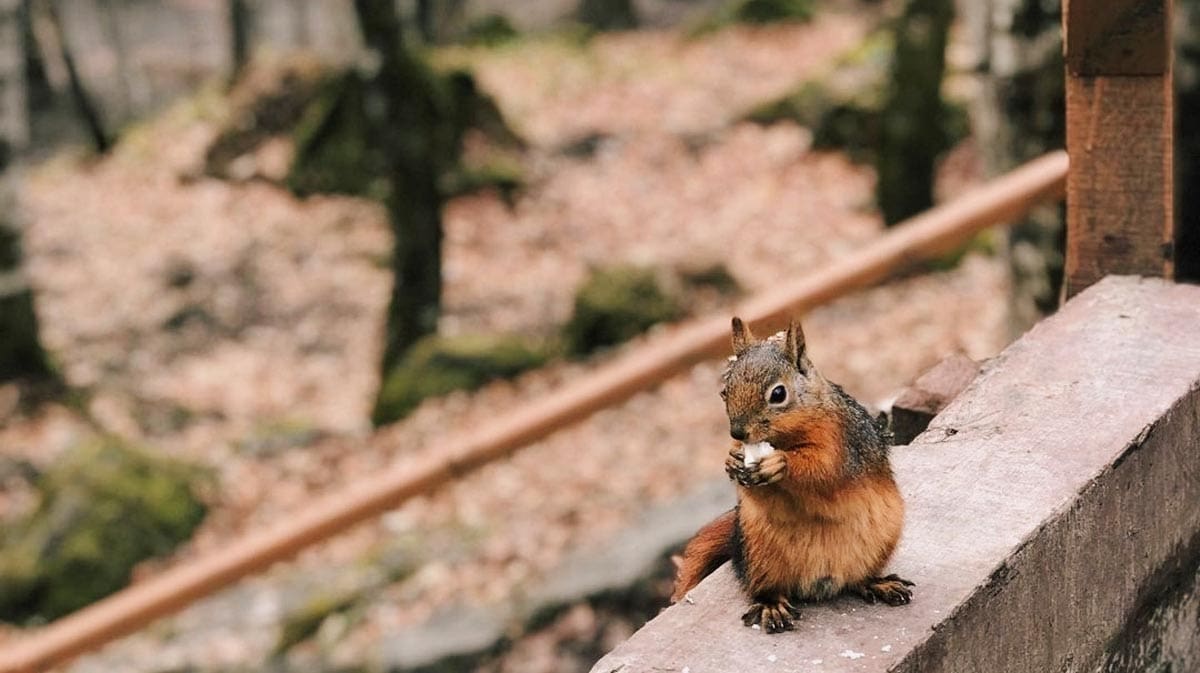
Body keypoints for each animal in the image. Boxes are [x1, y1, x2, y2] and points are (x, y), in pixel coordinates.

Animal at [672, 314, 912, 628]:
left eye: (778, 393)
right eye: (725, 390)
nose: (737, 432)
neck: (785, 439)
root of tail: (821, 583)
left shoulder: (841, 444)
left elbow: (824, 468)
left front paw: (780, 463)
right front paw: (732, 460)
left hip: (882, 540)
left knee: (859, 579)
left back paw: (878, 583)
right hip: (759, 553)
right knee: (768, 588)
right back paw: (772, 605)